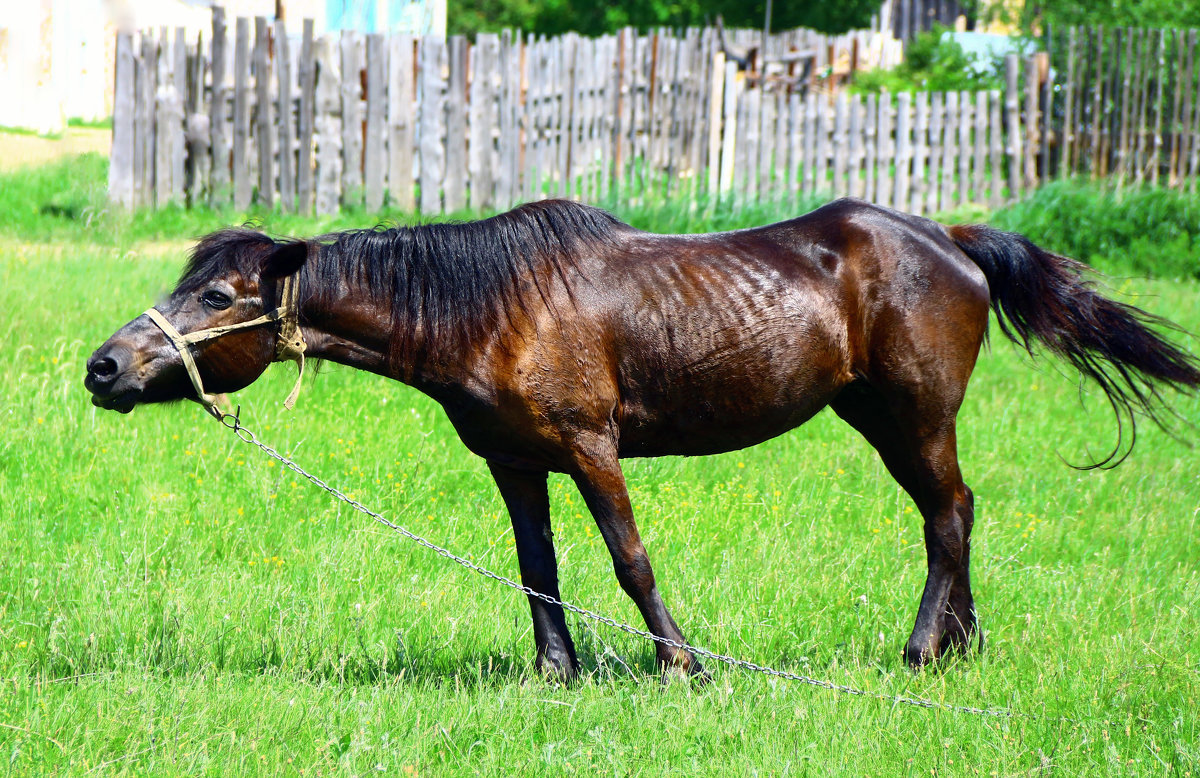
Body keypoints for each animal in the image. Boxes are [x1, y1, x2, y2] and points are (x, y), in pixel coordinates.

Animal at [84, 199, 1200, 681]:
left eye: (217, 297)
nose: (104, 367)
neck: (492, 306)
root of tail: (952, 239)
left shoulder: (590, 449)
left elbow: (628, 560)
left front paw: (681, 665)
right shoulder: (514, 463)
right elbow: (537, 569)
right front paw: (556, 673)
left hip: (912, 414)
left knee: (947, 516)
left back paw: (928, 650)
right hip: (882, 416)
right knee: (952, 516)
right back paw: (964, 645)